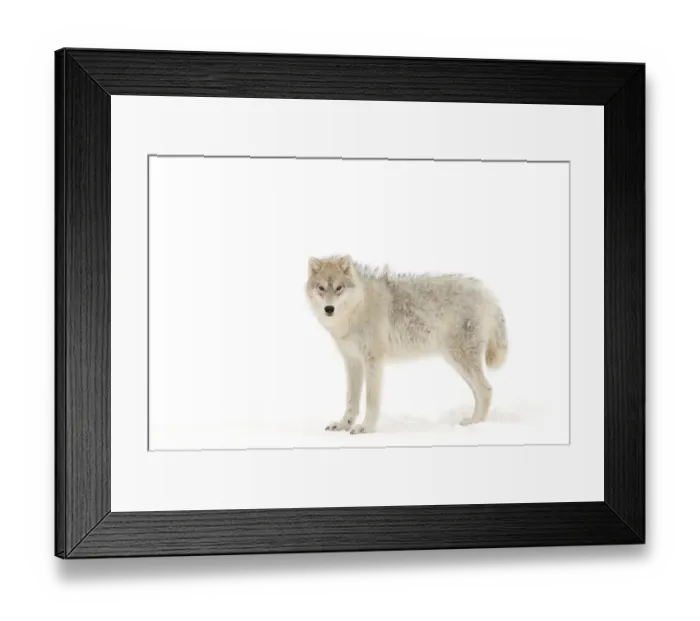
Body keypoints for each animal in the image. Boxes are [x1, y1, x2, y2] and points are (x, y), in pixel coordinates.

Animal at [306, 255, 508, 434]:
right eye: (321, 288)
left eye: (339, 288)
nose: (329, 309)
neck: (356, 311)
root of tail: (488, 294)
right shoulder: (353, 362)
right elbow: (351, 401)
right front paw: (343, 425)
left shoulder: (373, 361)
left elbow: (371, 400)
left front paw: (366, 428)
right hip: (457, 362)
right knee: (481, 391)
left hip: (460, 359)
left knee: (486, 390)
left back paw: (474, 424)